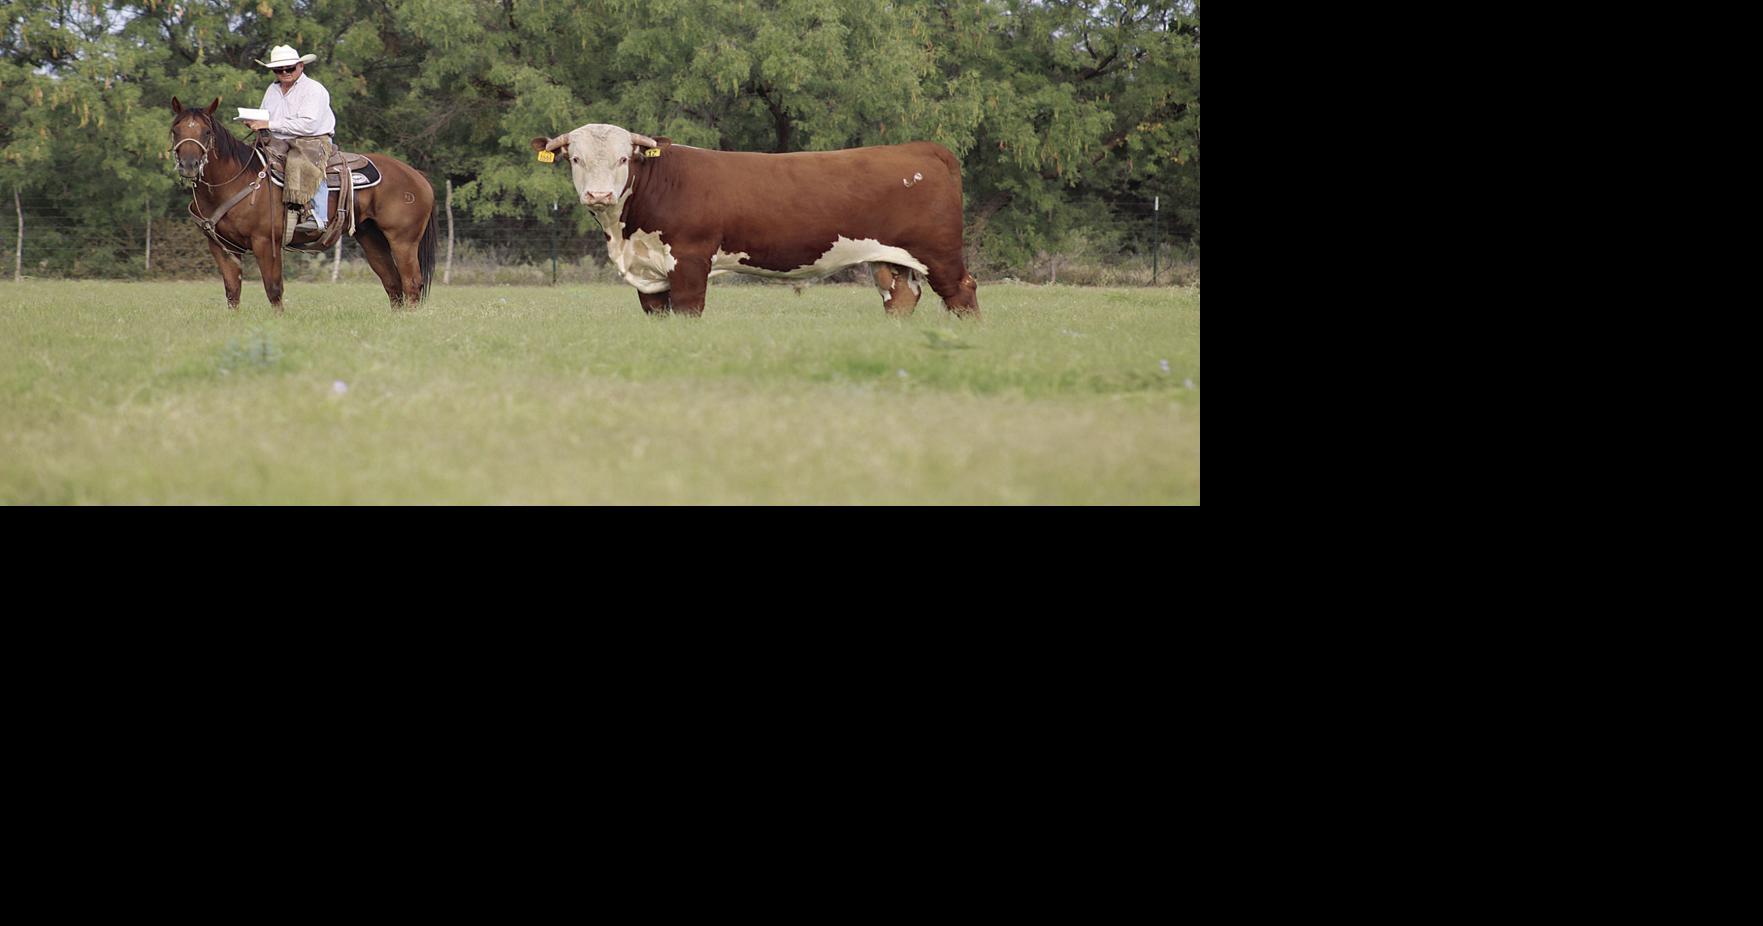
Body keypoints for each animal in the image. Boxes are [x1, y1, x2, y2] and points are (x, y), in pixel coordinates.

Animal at [531, 124, 980, 318]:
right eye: (575, 158)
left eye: (625, 158)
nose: (599, 195)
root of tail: (920, 148)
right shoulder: (649, 273)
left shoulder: (690, 260)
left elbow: (689, 309)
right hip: (889, 257)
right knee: (900, 296)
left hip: (939, 252)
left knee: (962, 291)